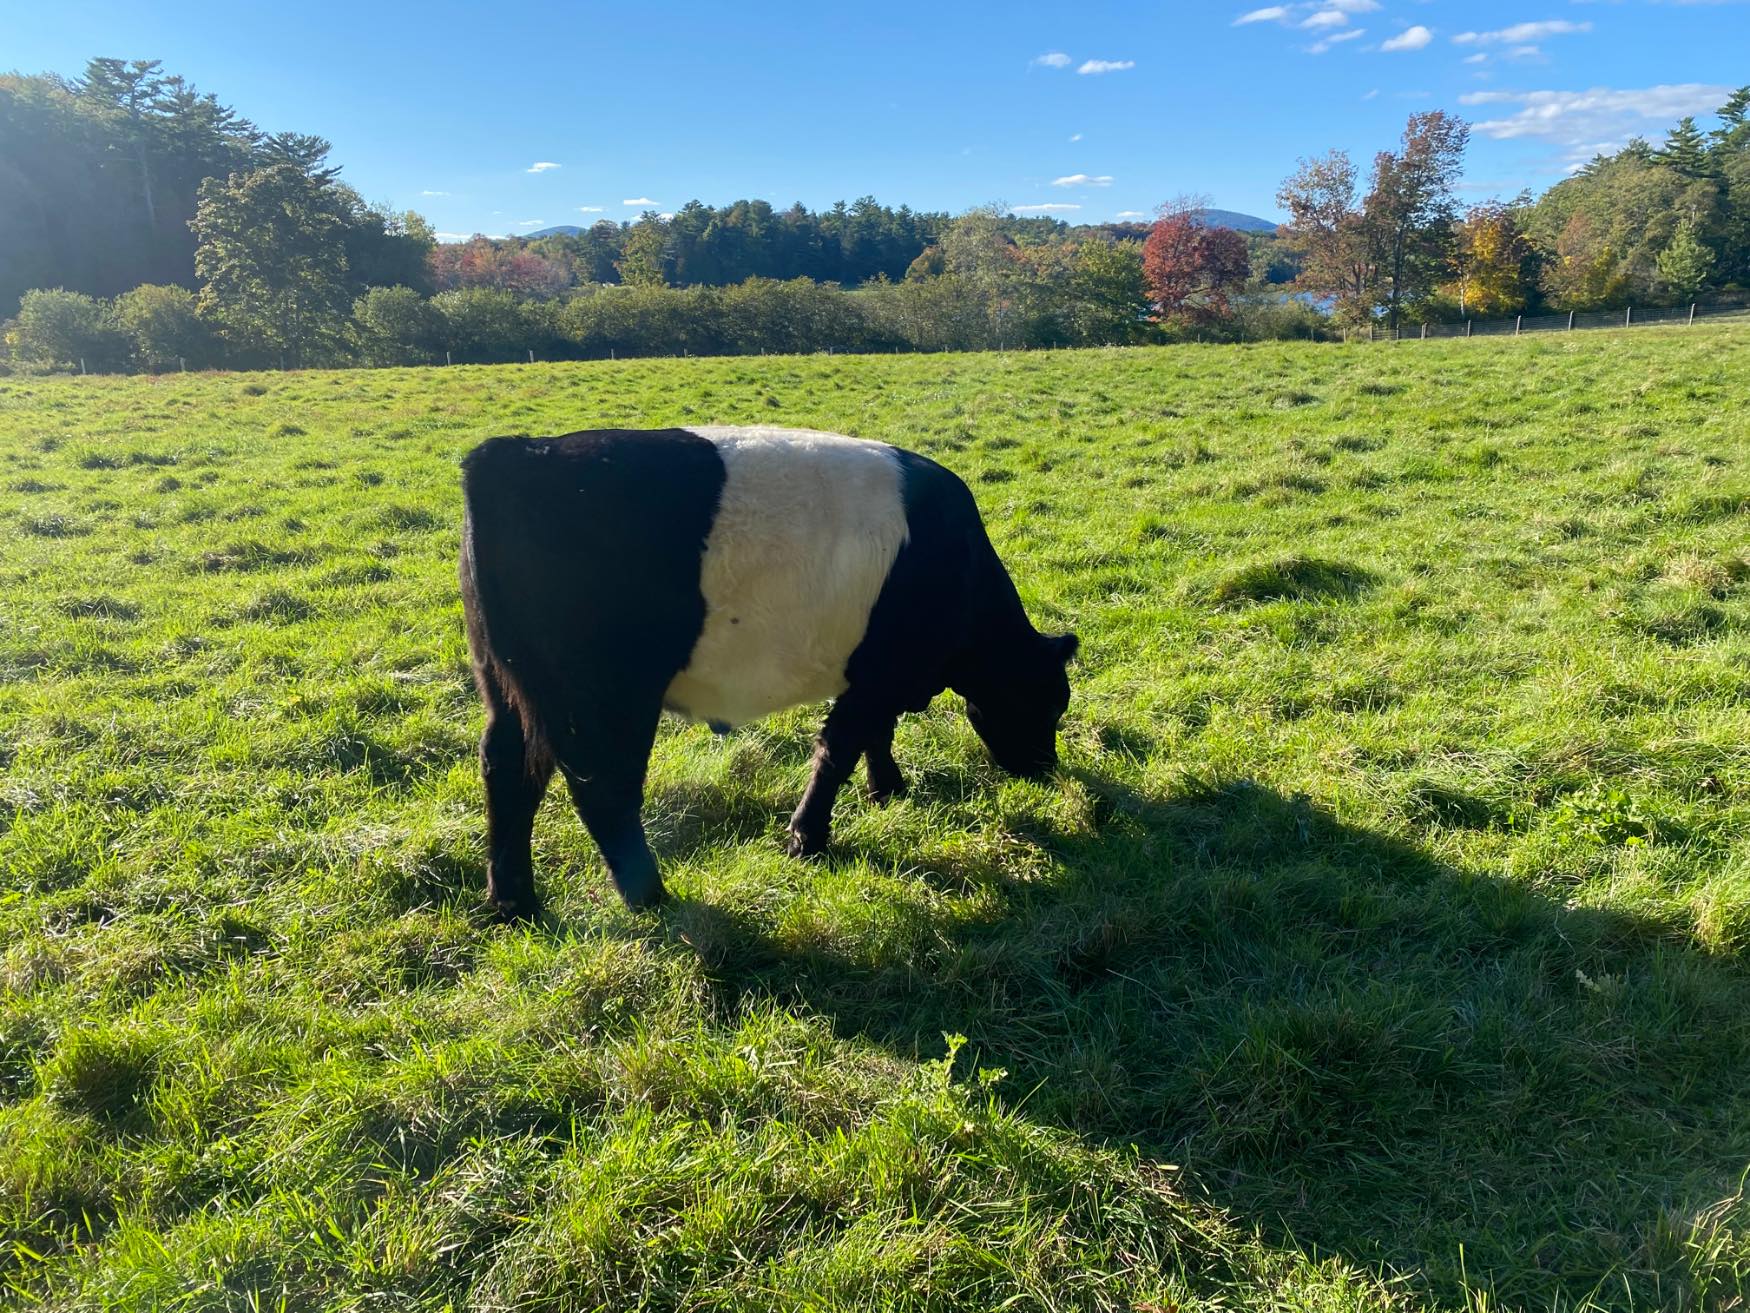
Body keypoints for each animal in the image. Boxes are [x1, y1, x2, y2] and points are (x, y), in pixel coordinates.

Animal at [459, 425, 1076, 918]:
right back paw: (649, 895)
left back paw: (513, 901)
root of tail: (514, 452)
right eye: (1051, 703)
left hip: (509, 684)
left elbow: (876, 735)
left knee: (508, 767)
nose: (1045, 769)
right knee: (603, 787)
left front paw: (887, 790)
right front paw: (809, 838)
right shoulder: (879, 676)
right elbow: (839, 748)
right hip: (607, 696)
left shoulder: (876, 678)